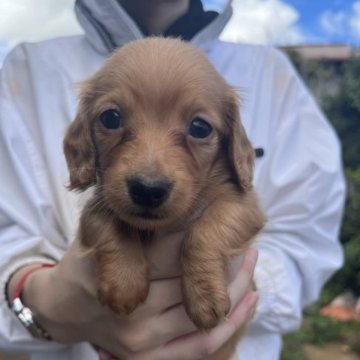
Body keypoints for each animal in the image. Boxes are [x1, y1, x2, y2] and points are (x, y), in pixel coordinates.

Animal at [64, 36, 266, 358]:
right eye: (110, 118)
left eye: (200, 127)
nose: (147, 190)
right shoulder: (97, 203)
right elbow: (106, 223)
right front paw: (124, 284)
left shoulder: (244, 205)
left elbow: (205, 231)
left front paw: (203, 296)